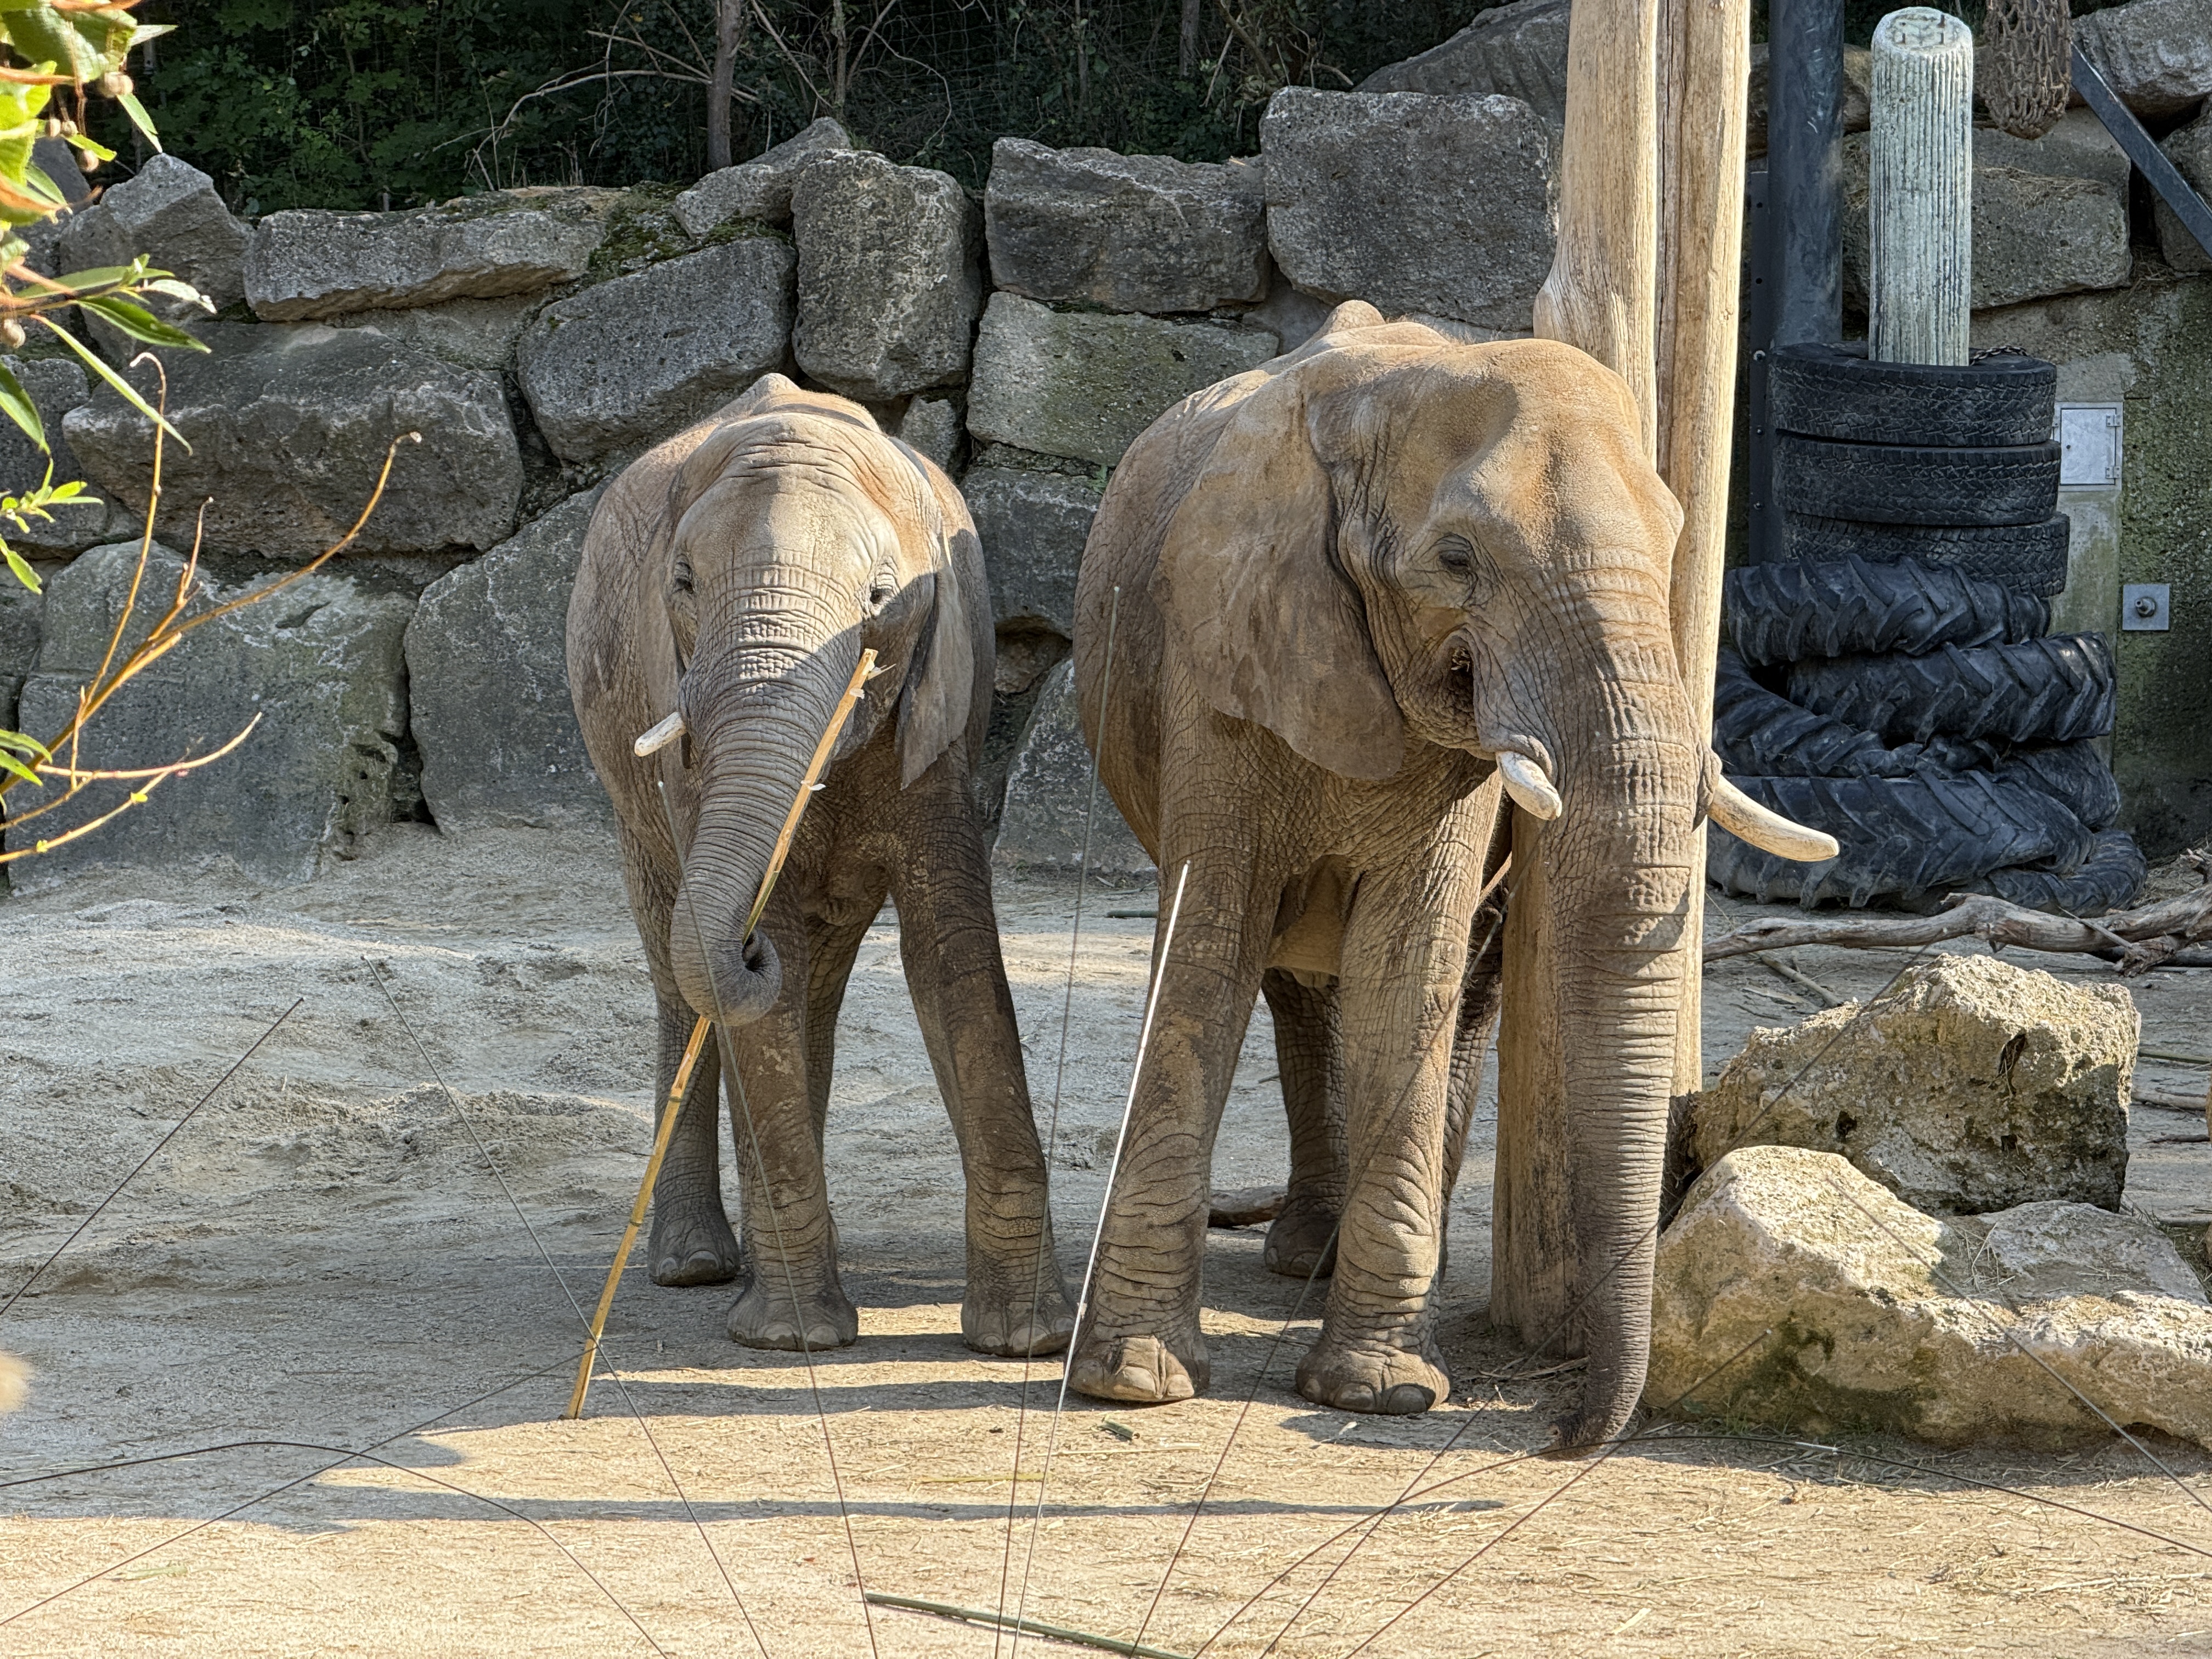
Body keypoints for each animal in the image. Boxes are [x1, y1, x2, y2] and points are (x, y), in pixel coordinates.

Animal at [567, 372, 1074, 1359]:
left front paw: (1025, 1339)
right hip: (627, 789)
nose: (747, 947)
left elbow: (951, 950)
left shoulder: (940, 709)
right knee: (677, 962)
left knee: (816, 982)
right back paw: (696, 1265)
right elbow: (760, 972)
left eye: (881, 595)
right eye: (682, 582)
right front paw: (793, 1341)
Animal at [1066, 303, 1833, 1443]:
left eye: (1673, 541)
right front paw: (1134, 1378)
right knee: (1290, 982)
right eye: (1458, 557)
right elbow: (1206, 954)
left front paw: (1382, 1393)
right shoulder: (1220, 659)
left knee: (1448, 981)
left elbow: (1408, 966)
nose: (1560, 1435)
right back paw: (1301, 1256)